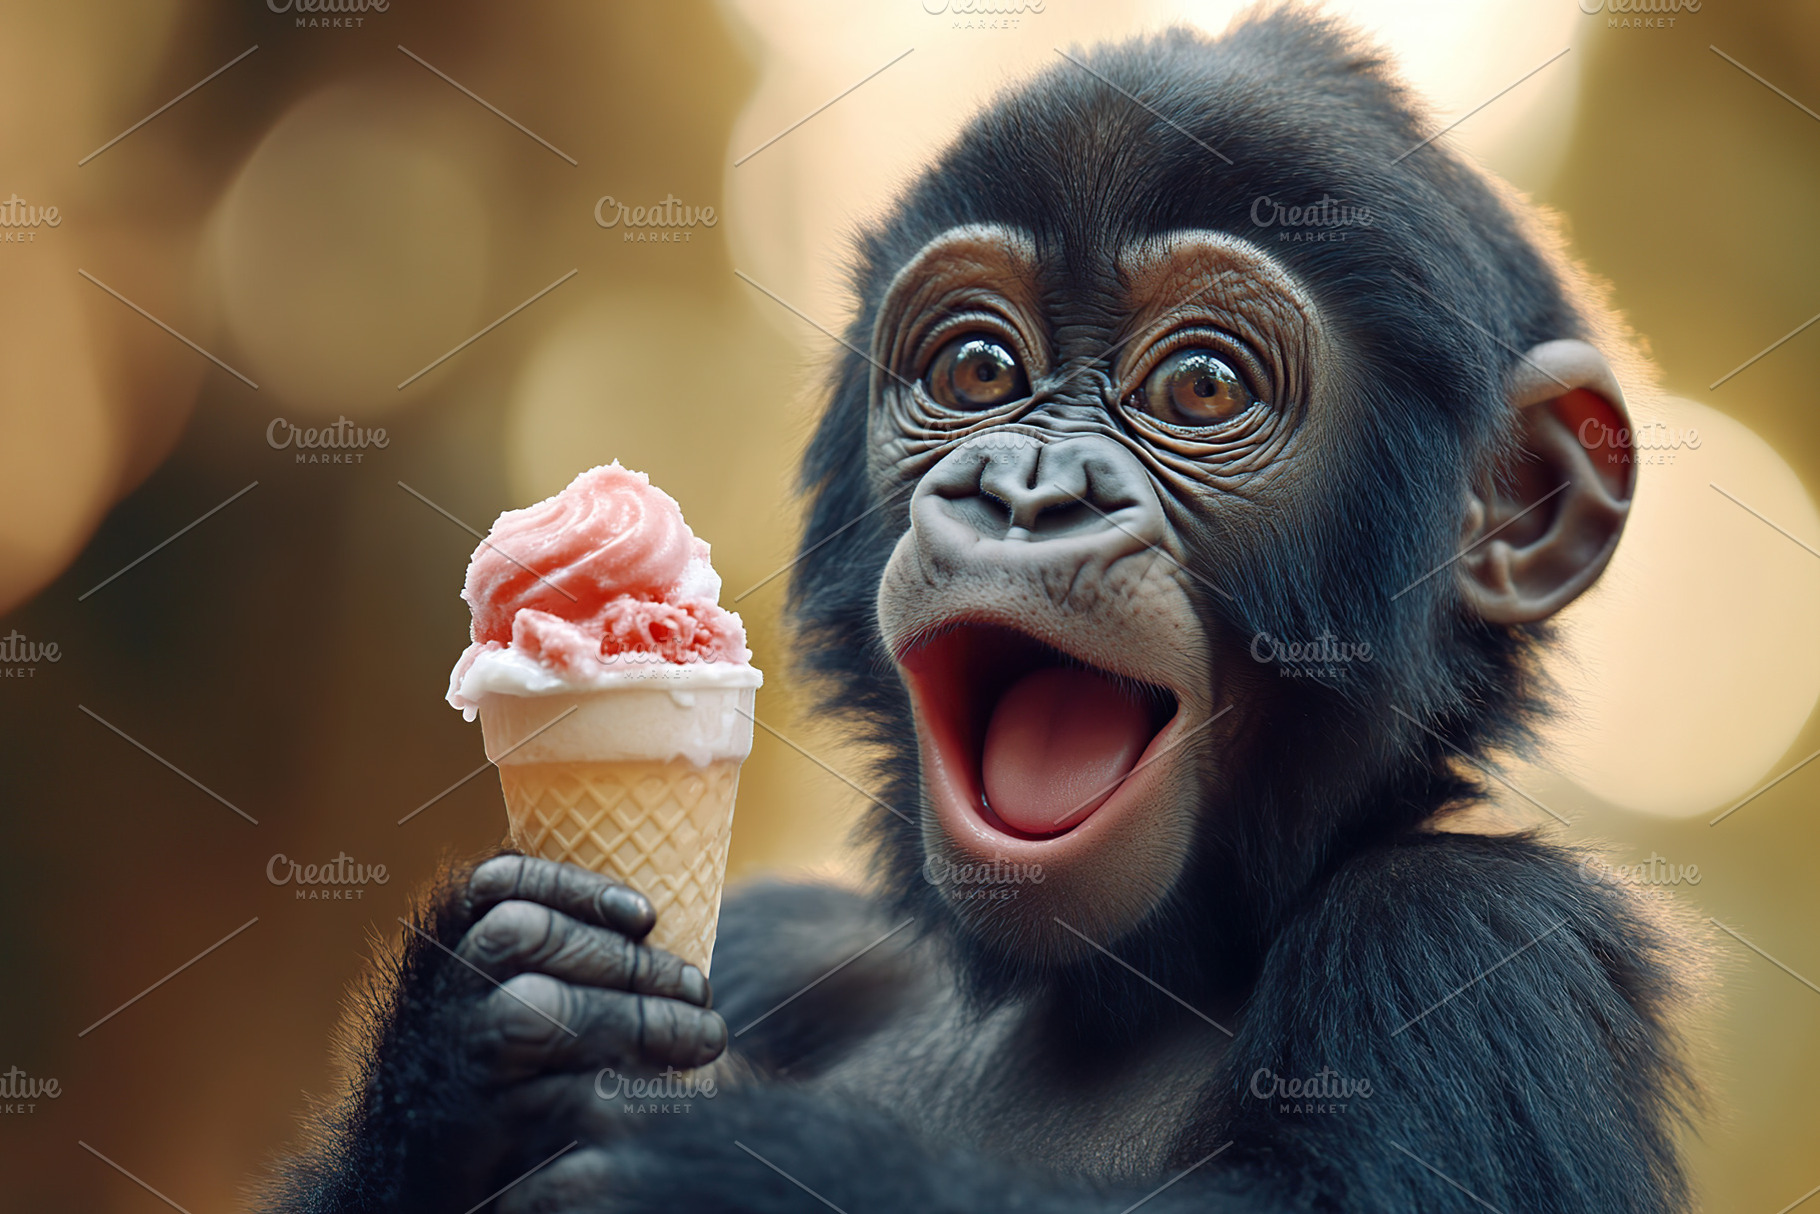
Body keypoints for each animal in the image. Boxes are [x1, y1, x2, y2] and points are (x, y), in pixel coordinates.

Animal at [264, 10, 1698, 1212]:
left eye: (1198, 386)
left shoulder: (1477, 941)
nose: (1025, 486)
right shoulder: (780, 944)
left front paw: (720, 1159)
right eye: (973, 369)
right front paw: (474, 1030)